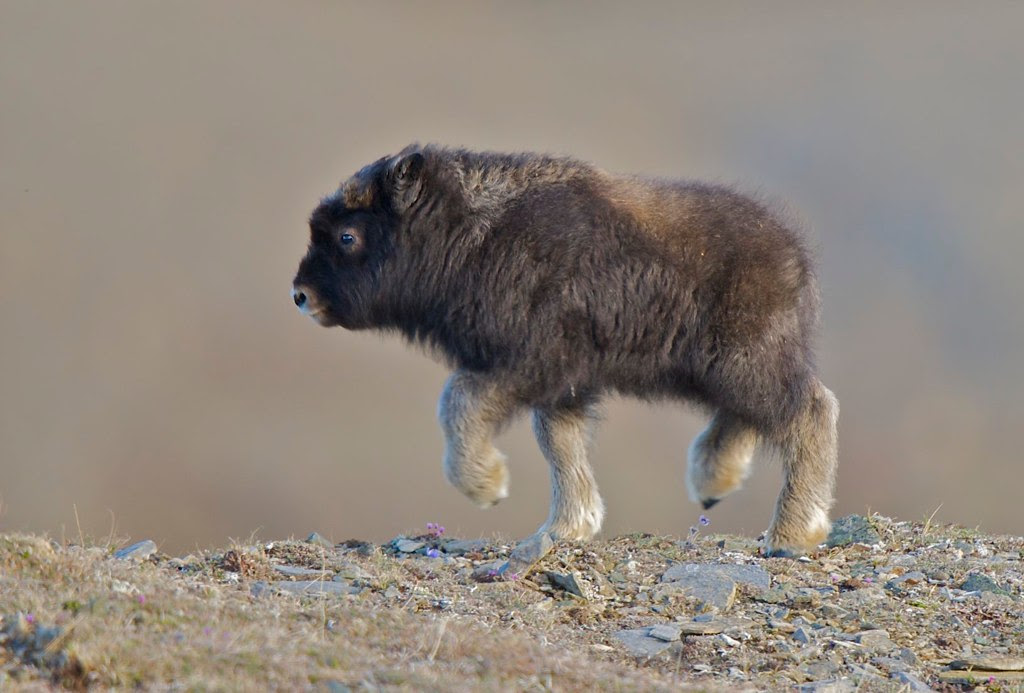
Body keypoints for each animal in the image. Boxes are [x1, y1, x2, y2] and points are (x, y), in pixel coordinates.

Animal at [292, 144, 835, 556]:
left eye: (348, 235)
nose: (301, 295)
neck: (472, 234)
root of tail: (795, 256)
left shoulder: (526, 362)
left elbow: (458, 402)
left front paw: (486, 486)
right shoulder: (562, 383)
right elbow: (560, 444)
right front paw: (568, 526)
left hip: (744, 362)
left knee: (810, 411)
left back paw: (792, 533)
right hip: (725, 370)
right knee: (747, 417)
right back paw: (712, 483)